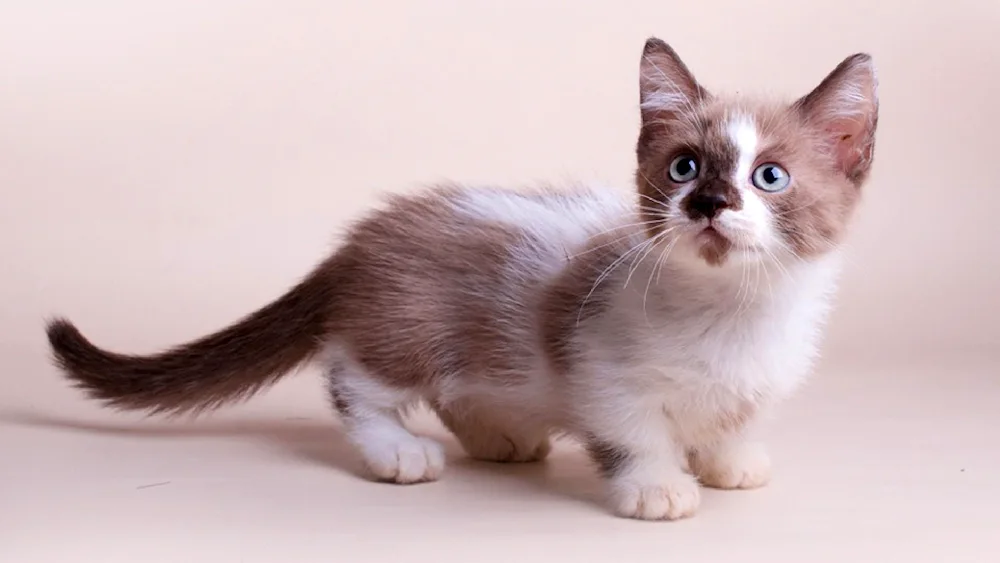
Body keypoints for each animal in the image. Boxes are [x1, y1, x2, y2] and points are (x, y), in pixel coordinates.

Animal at [45, 37, 876, 524]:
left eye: (769, 176)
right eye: (684, 166)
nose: (707, 203)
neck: (736, 312)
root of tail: (362, 240)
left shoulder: (759, 376)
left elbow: (735, 416)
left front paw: (730, 461)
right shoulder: (602, 367)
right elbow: (635, 430)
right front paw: (658, 485)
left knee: (456, 390)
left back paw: (501, 435)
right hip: (407, 325)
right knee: (355, 378)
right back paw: (397, 450)